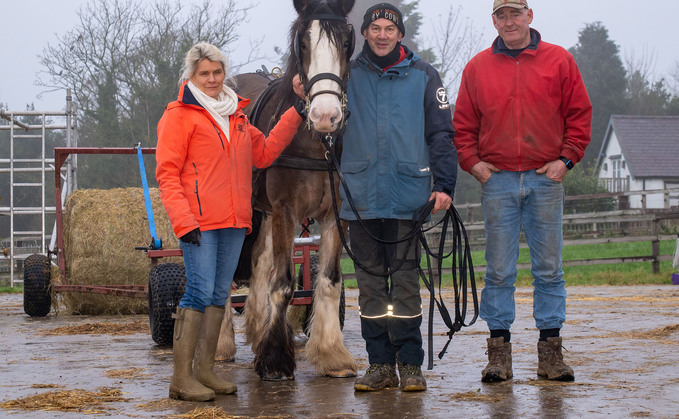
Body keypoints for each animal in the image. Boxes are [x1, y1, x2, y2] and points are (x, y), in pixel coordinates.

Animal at [215, 0, 358, 380]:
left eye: (346, 42)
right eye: (303, 43)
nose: (326, 116)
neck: (317, 145)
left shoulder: (335, 214)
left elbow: (329, 280)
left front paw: (331, 354)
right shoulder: (284, 210)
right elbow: (283, 283)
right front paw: (275, 359)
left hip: (261, 213)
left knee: (258, 261)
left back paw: (256, 326)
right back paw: (221, 344)